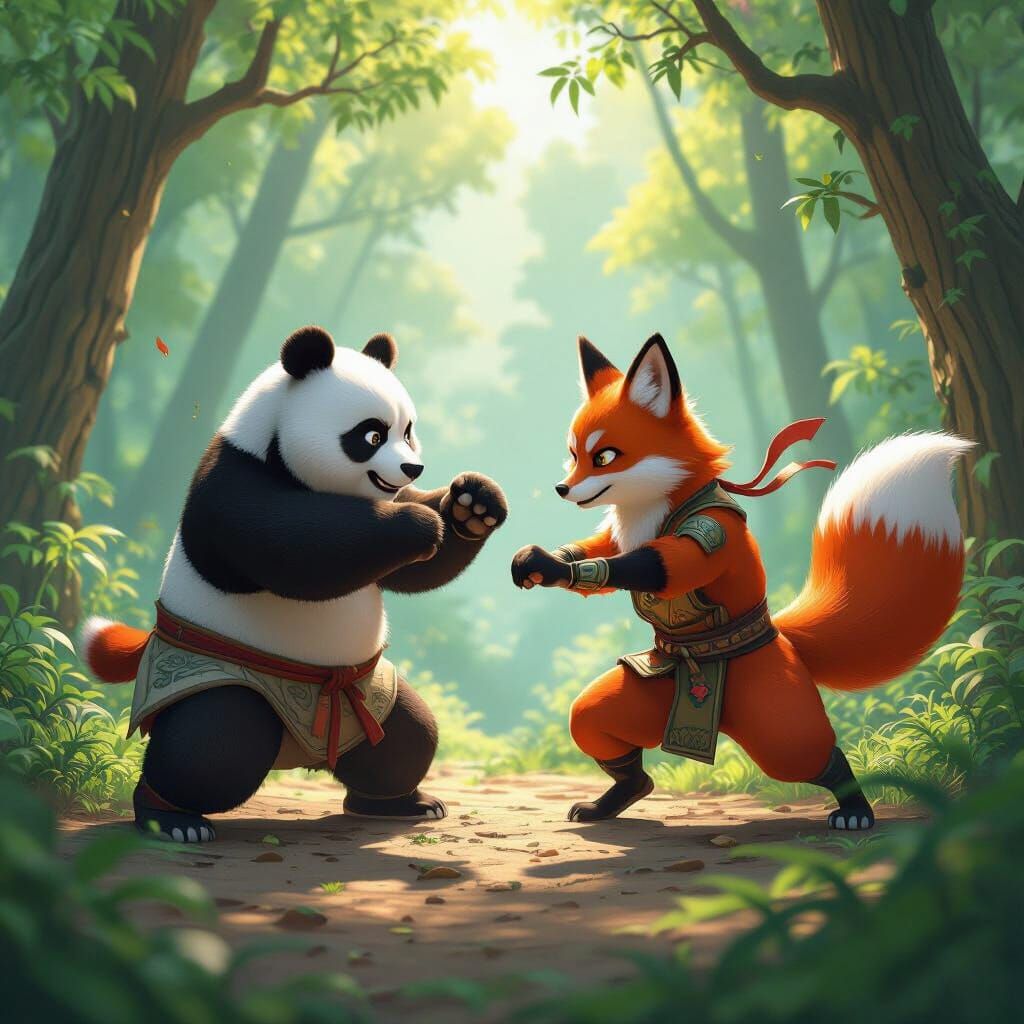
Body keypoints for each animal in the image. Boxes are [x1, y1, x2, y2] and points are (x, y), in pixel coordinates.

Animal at [83, 326, 507, 843]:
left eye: (408, 431)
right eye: (371, 435)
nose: (413, 468)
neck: (271, 445)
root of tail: (300, 751)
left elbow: (408, 570)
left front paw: (472, 504)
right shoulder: (232, 487)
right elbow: (296, 549)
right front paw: (419, 523)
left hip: (370, 695)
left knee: (406, 739)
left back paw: (400, 803)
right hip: (217, 673)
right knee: (215, 743)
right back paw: (171, 817)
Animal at [511, 332, 970, 829]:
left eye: (605, 457)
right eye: (574, 454)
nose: (561, 488)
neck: (659, 506)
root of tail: (785, 639)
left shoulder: (711, 534)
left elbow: (655, 566)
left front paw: (550, 566)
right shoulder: (618, 539)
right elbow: (601, 553)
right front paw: (537, 561)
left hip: (777, 723)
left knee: (813, 753)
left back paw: (855, 810)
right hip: (645, 699)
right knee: (597, 730)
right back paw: (615, 799)